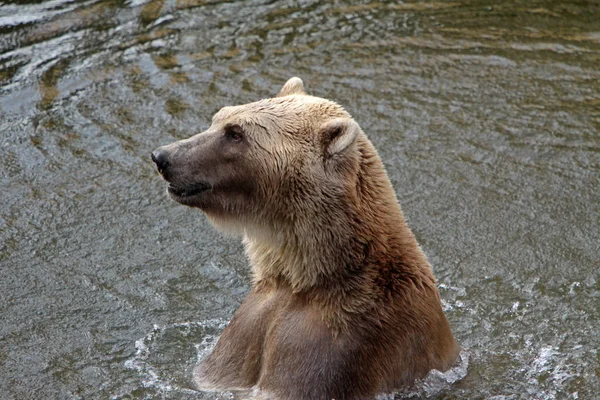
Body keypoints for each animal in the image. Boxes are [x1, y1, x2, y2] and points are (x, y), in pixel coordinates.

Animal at [151, 78, 460, 400]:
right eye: (219, 118)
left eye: (235, 133)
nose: (163, 156)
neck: (308, 277)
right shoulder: (249, 326)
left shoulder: (341, 344)